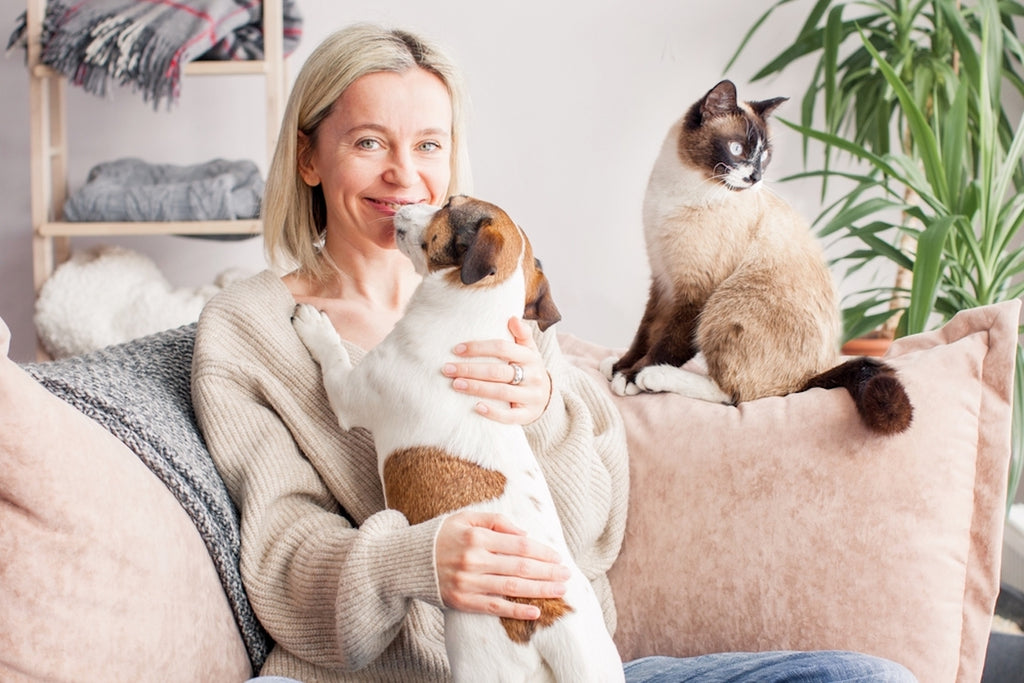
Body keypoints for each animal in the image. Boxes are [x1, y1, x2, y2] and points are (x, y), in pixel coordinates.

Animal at [290, 194, 622, 679]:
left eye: (448, 204)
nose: (408, 201)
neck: (471, 315)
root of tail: (550, 614)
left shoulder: (349, 393)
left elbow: (331, 355)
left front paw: (316, 324)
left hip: (477, 658)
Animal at [598, 78, 913, 432]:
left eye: (765, 156)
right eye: (737, 150)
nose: (755, 177)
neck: (680, 190)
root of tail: (810, 379)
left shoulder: (693, 292)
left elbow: (665, 344)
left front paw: (631, 377)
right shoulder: (663, 280)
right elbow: (644, 333)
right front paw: (619, 367)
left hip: (724, 304)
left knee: (735, 395)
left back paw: (653, 377)